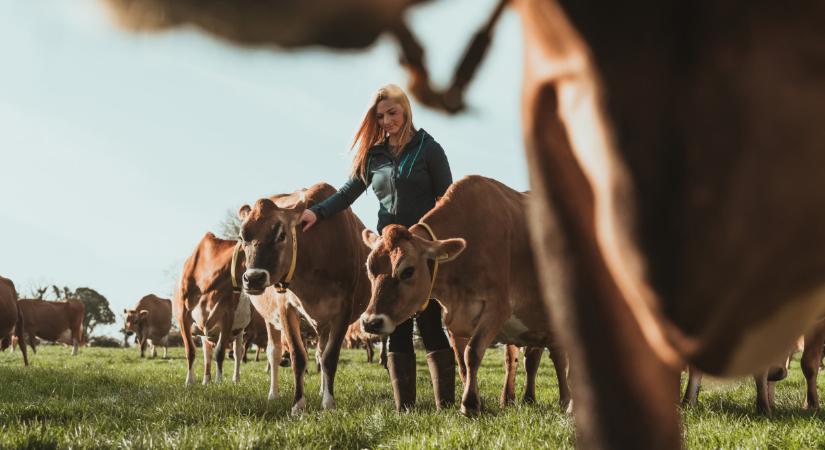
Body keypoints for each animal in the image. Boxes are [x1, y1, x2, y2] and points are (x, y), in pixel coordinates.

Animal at [179, 232, 256, 384]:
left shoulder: (227, 316)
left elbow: (220, 352)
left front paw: (219, 381)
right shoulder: (182, 315)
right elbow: (190, 350)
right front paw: (189, 381)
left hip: (239, 331)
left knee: (238, 353)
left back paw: (235, 379)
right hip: (206, 336)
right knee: (207, 356)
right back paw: (206, 381)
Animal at [237, 181, 368, 414]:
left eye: (281, 235)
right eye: (242, 237)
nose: (253, 278)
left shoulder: (344, 308)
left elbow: (329, 357)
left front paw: (329, 402)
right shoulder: (285, 308)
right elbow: (298, 356)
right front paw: (298, 404)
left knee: (321, 353)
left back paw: (322, 391)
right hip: (269, 319)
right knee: (274, 352)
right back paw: (273, 394)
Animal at [360, 174, 568, 414]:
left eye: (408, 270)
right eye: (369, 268)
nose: (370, 322)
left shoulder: (497, 309)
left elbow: (473, 353)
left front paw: (468, 404)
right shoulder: (453, 320)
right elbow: (462, 363)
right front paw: (477, 402)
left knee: (556, 358)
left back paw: (565, 401)